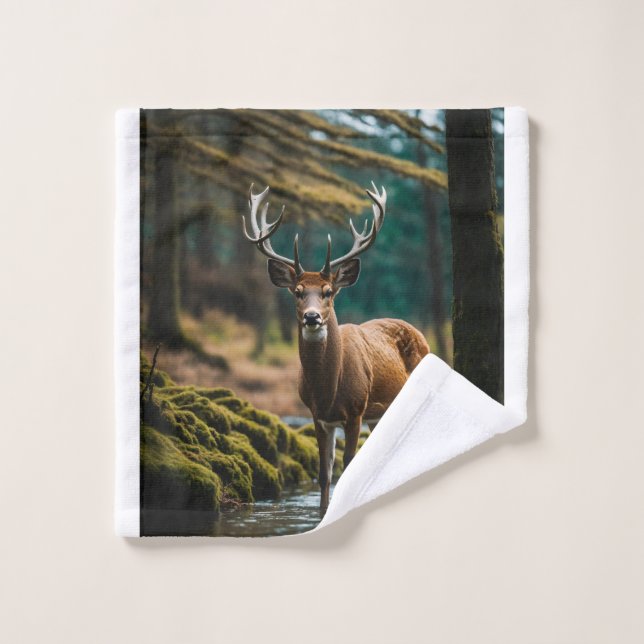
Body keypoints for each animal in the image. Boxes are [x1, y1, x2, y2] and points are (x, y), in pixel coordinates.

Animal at [241, 183, 430, 510]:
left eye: (328, 291)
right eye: (297, 292)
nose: (312, 317)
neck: (329, 390)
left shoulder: (355, 410)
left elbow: (349, 466)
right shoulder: (318, 415)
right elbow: (324, 474)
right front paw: (322, 512)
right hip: (379, 414)